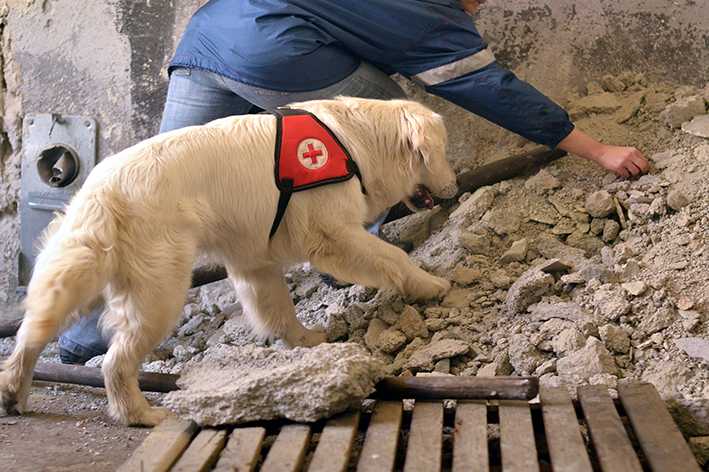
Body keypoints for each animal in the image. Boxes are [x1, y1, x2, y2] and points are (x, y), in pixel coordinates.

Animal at [0, 97, 456, 426]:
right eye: (443, 153)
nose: (454, 185)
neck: (358, 140)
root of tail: (103, 188)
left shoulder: (255, 259)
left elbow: (277, 308)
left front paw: (305, 341)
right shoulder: (333, 232)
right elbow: (391, 256)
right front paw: (429, 284)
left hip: (85, 273)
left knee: (31, 332)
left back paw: (12, 391)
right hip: (161, 288)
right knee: (115, 362)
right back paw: (140, 415)